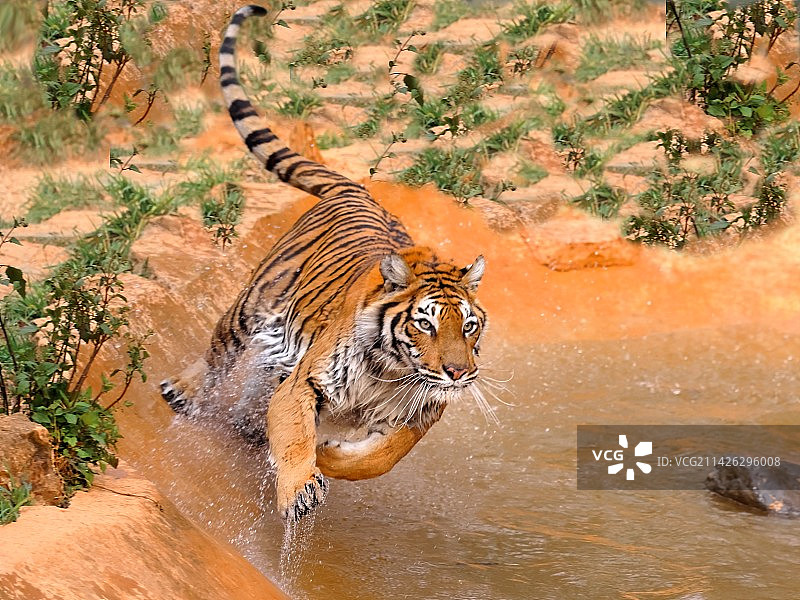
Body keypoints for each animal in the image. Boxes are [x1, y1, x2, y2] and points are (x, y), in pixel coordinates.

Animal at [160, 4, 488, 523]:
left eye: (469, 326)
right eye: (426, 324)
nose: (459, 373)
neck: (391, 372)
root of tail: (355, 189)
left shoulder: (418, 415)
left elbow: (379, 457)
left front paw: (331, 453)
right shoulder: (305, 382)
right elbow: (295, 436)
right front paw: (299, 486)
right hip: (252, 305)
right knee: (218, 353)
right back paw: (185, 391)